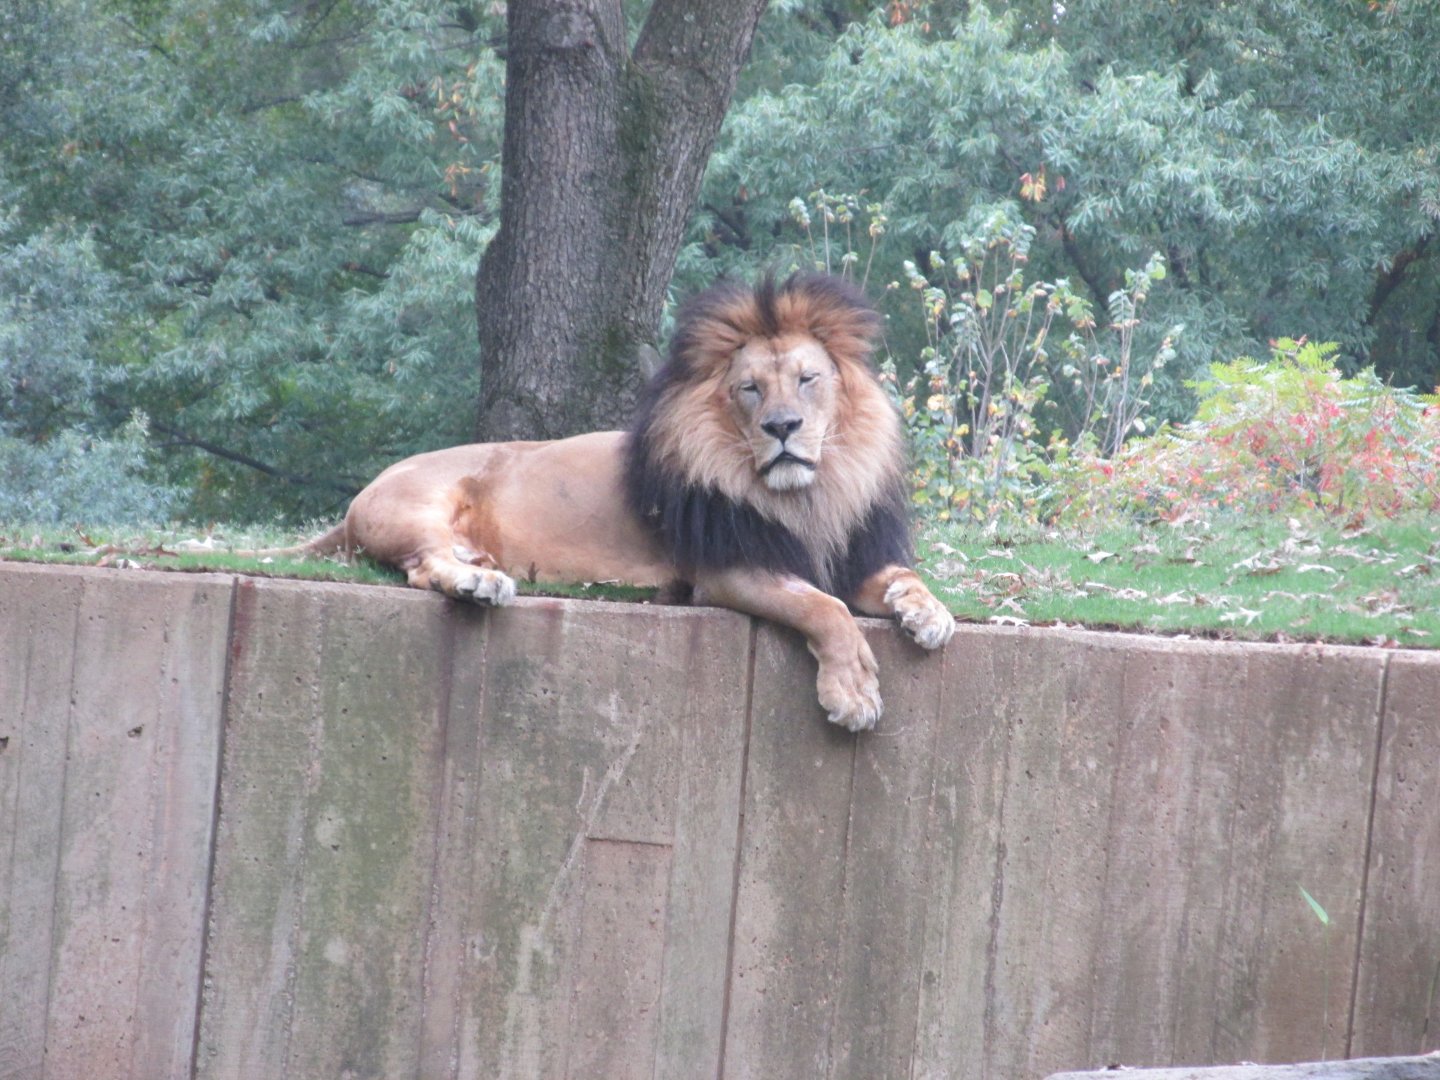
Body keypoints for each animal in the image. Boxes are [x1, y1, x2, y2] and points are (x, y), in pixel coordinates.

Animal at [267, 273, 954, 731]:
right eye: (750, 389)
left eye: (808, 379)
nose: (782, 427)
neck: (808, 498)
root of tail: (358, 499)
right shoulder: (728, 570)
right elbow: (823, 609)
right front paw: (853, 693)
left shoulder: (848, 553)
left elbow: (900, 576)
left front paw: (929, 614)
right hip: (419, 503)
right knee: (423, 565)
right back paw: (478, 581)